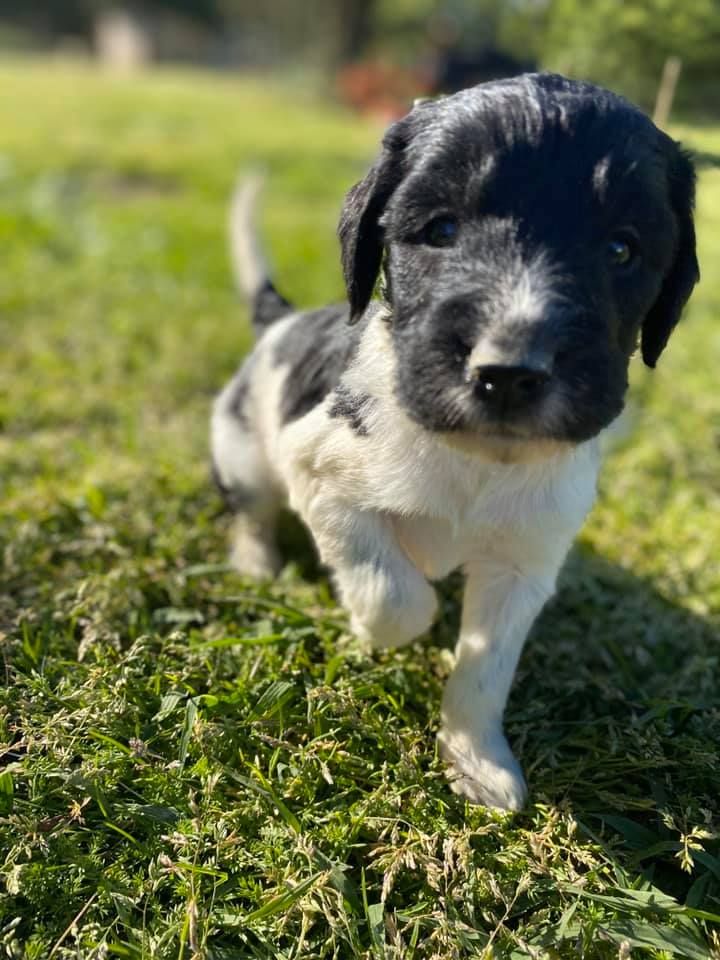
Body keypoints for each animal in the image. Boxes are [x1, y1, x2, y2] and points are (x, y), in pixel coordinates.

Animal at [210, 77, 696, 808]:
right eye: (440, 230)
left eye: (621, 250)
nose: (510, 373)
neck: (473, 459)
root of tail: (281, 320)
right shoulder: (320, 473)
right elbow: (395, 596)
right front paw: (369, 623)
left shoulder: (524, 563)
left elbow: (485, 668)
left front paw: (476, 761)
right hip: (240, 446)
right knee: (253, 509)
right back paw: (255, 561)